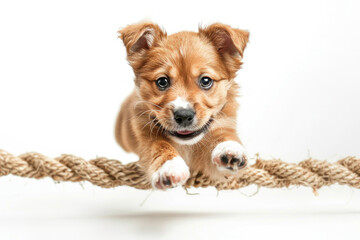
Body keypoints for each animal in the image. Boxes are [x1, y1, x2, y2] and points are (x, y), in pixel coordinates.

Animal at [114, 22, 249, 189]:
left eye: (206, 81)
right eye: (162, 81)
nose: (184, 116)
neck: (187, 145)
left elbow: (224, 134)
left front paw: (230, 148)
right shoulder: (144, 134)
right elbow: (157, 145)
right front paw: (169, 166)